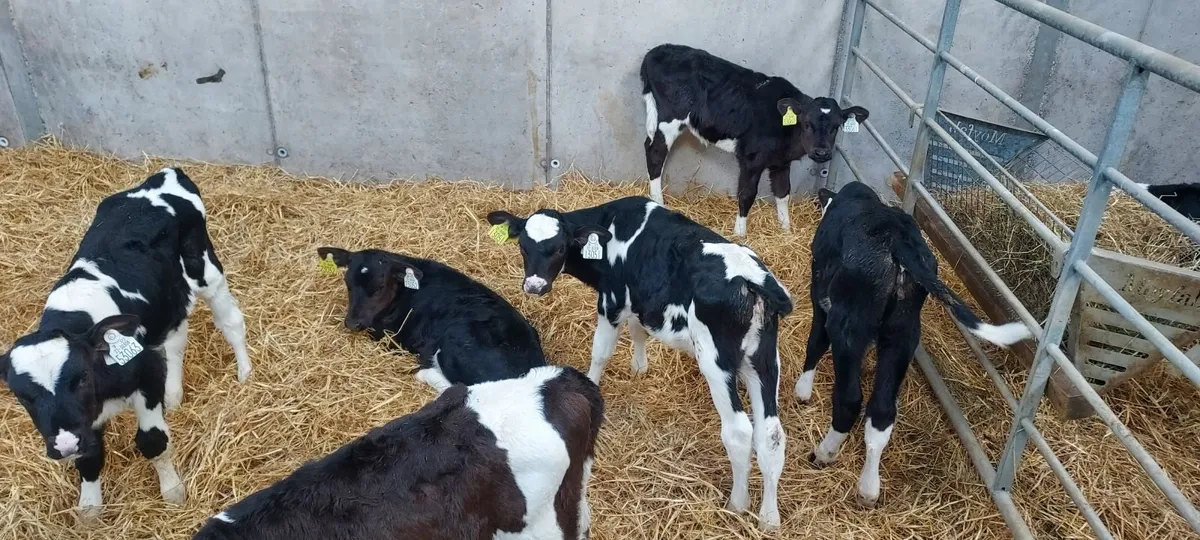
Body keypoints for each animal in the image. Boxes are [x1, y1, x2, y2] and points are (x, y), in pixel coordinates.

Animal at [0, 168, 253, 518]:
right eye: (22, 396)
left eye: (82, 378)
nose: (64, 444)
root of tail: (163, 176)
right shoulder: (83, 419)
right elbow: (90, 458)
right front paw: (90, 509)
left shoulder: (144, 378)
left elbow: (152, 441)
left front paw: (172, 492)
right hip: (168, 300)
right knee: (176, 338)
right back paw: (173, 395)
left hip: (204, 268)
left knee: (231, 323)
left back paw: (245, 374)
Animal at [487, 196, 793, 530]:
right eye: (523, 246)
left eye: (559, 248)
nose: (534, 285)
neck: (612, 229)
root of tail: (751, 279)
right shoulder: (636, 301)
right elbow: (638, 331)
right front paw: (639, 367)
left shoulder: (611, 301)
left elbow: (601, 352)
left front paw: (592, 385)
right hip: (764, 360)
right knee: (771, 435)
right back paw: (769, 517)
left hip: (716, 361)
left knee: (738, 431)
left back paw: (737, 504)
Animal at [640, 43, 870, 236]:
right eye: (806, 123)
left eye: (836, 126)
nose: (822, 152)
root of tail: (657, 50)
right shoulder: (751, 158)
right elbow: (747, 194)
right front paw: (740, 234)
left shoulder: (781, 163)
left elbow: (783, 192)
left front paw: (786, 231)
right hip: (670, 118)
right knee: (655, 153)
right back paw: (658, 201)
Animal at [795, 181, 1032, 508]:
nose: (820, 191)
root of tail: (898, 242)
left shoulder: (819, 294)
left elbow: (815, 343)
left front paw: (802, 391)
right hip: (904, 332)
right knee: (882, 411)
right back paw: (869, 488)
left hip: (848, 323)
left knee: (850, 400)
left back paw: (823, 453)